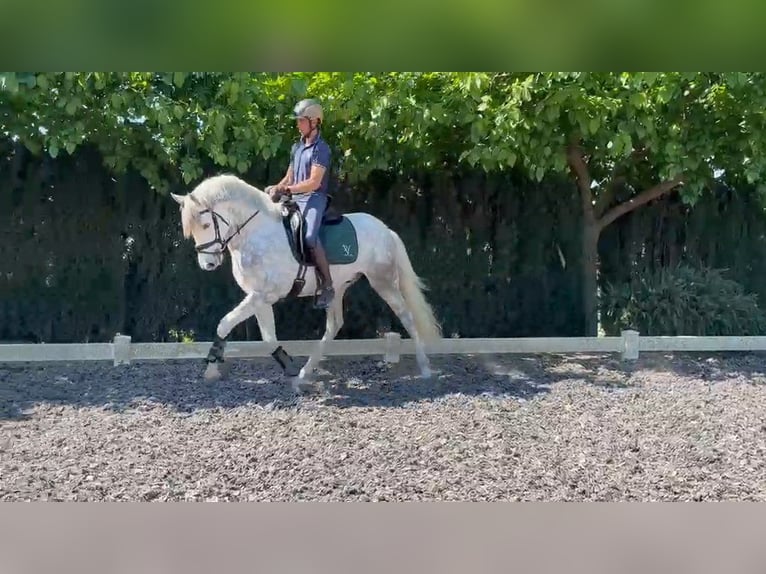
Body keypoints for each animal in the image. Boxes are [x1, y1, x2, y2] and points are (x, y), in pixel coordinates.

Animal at [170, 173, 442, 392]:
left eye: (206, 224)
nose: (208, 265)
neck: (256, 234)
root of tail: (386, 230)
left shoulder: (263, 295)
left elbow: (225, 323)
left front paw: (211, 368)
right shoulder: (259, 298)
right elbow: (268, 338)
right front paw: (291, 371)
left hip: (382, 280)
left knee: (407, 316)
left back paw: (426, 368)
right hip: (338, 288)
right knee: (334, 326)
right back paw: (304, 373)